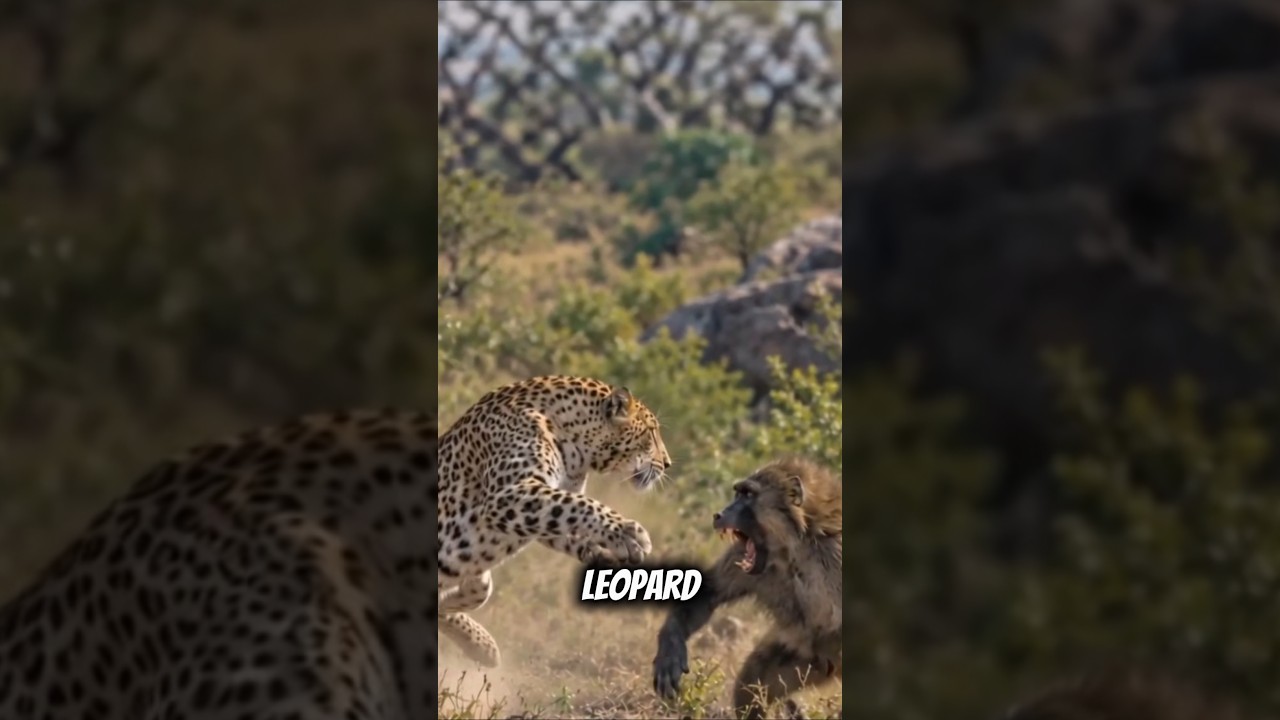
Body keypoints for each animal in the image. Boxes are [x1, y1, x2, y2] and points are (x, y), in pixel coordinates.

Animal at [437, 375, 671, 669]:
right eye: (651, 432)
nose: (668, 463)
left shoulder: (544, 512)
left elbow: (570, 520)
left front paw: (608, 555)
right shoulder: (508, 495)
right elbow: (581, 505)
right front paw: (628, 533)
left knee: (474, 592)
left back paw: (482, 646)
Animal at [652, 456, 842, 720]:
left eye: (748, 495)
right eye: (738, 493)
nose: (719, 514)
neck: (794, 546)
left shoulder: (834, 554)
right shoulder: (744, 554)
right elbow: (708, 592)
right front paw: (670, 649)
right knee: (753, 682)